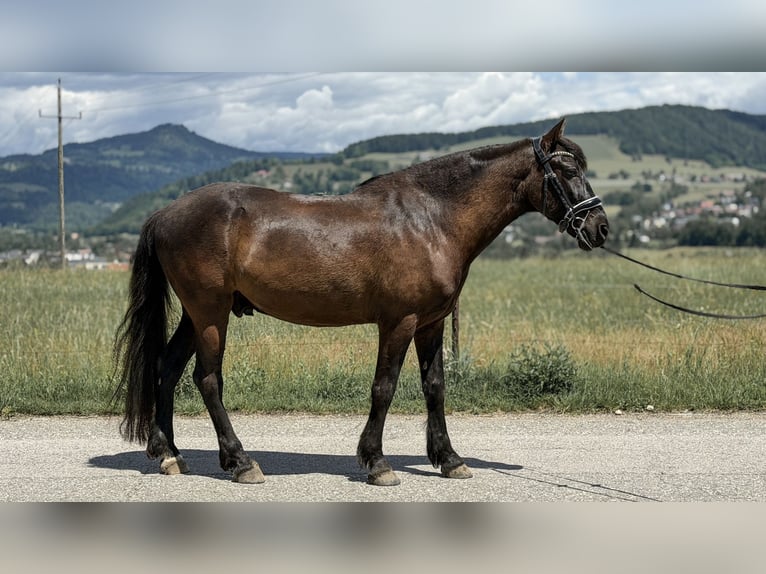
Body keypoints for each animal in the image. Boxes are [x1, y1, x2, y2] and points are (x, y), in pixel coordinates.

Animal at [114, 118, 609, 486]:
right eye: (568, 171)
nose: (600, 227)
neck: (432, 218)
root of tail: (164, 213)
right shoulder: (399, 321)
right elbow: (384, 388)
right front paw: (377, 463)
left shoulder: (430, 323)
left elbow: (435, 388)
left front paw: (449, 459)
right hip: (211, 313)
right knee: (207, 378)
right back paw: (240, 462)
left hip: (197, 314)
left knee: (166, 367)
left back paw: (168, 454)